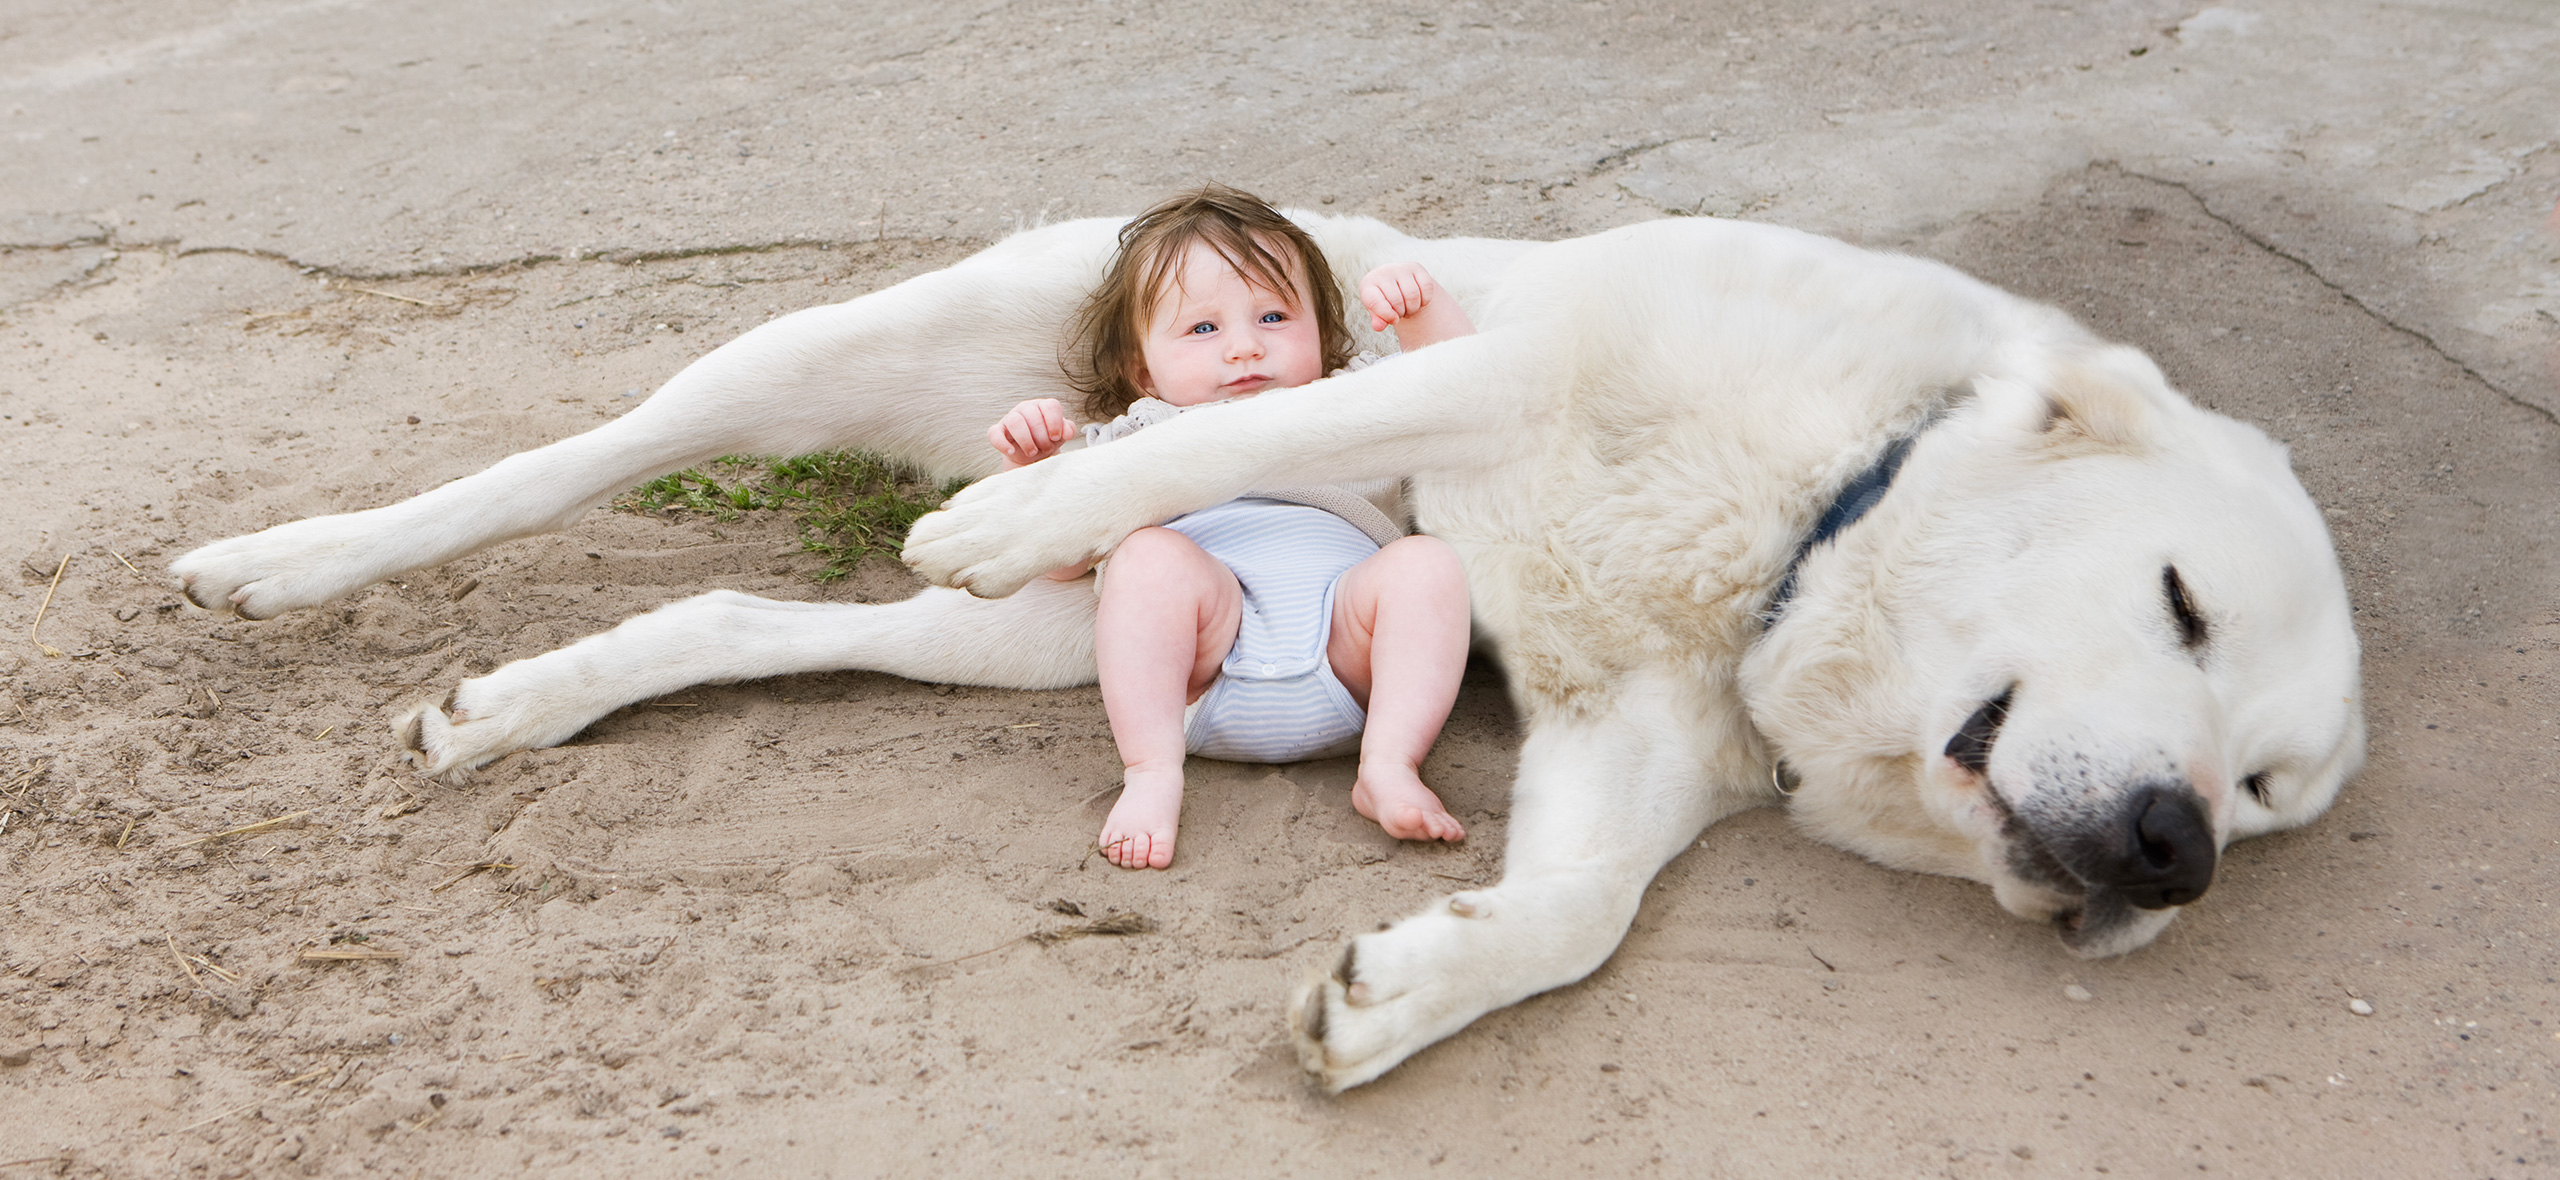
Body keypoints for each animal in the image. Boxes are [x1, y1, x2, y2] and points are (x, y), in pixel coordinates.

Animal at [165, 209, 2355, 1085]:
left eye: (2262, 791)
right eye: (2179, 604)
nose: (2172, 854)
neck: (1817, 494)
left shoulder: (1622, 726)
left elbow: (1575, 914)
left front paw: (1407, 987)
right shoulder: (1483, 379)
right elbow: (1244, 423)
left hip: (1051, 651)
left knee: (736, 612)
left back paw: (524, 700)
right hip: (816, 356)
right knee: (584, 453)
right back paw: (281, 560)